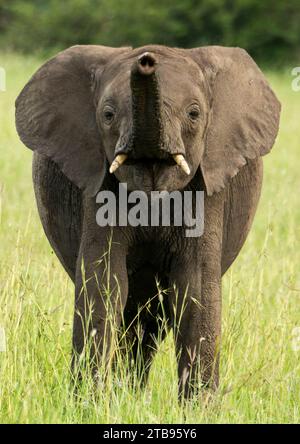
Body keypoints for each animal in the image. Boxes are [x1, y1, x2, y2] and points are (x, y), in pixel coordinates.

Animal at [15, 45, 280, 398]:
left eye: (194, 114)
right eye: (108, 115)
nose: (146, 59)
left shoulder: (208, 183)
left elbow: (195, 285)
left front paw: (198, 407)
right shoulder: (98, 181)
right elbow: (104, 280)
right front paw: (88, 402)